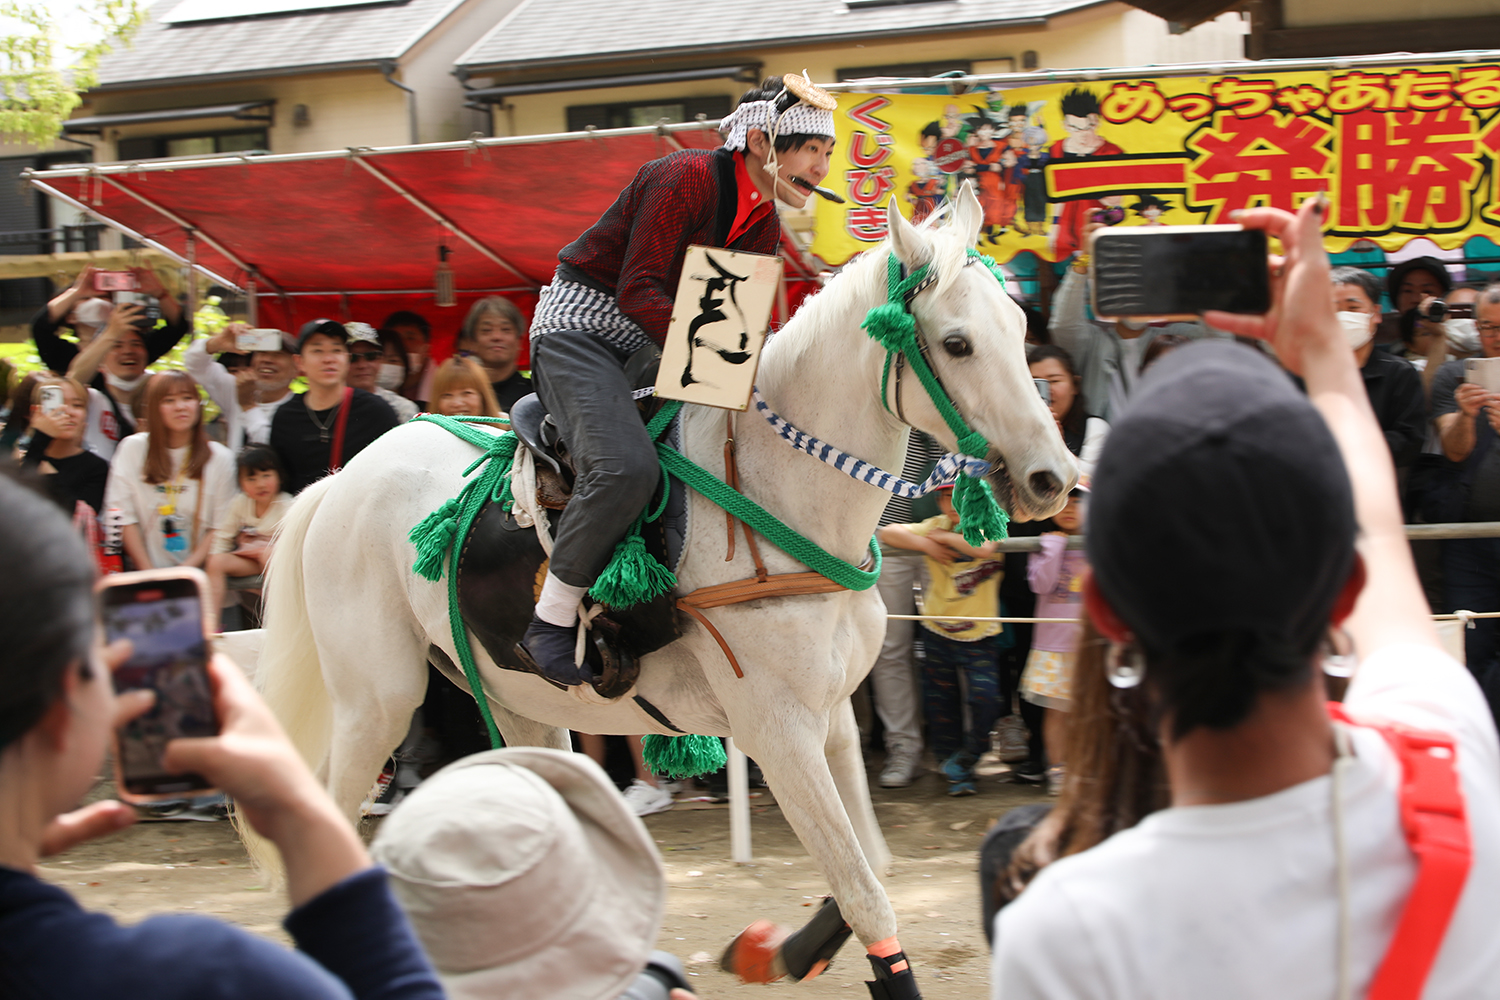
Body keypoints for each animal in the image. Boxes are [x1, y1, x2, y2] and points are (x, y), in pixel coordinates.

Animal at [255, 191, 1080, 989]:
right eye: (957, 343)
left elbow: (868, 866)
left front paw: (778, 951)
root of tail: (337, 480)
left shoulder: (832, 716)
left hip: (518, 705)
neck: (781, 496)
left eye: (1018, 325)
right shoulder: (777, 730)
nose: (1055, 477)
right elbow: (865, 894)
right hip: (377, 699)